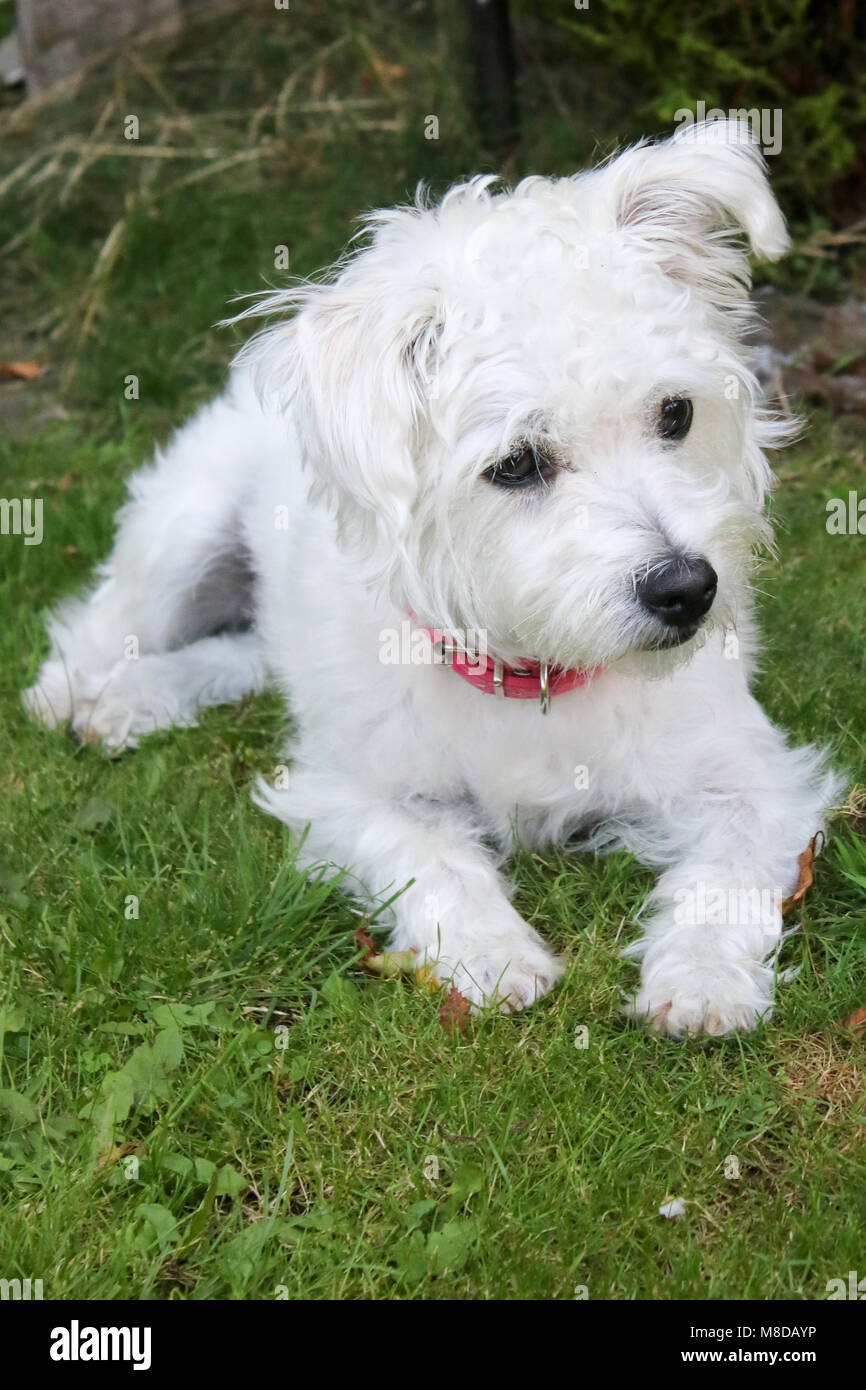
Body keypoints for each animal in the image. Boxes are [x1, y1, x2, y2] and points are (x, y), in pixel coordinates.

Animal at [23, 122, 845, 1034]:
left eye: (676, 414)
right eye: (516, 463)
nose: (687, 590)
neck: (536, 673)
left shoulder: (754, 778)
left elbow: (726, 875)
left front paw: (702, 980)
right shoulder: (352, 790)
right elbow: (434, 854)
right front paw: (492, 954)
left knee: (247, 651)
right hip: (185, 534)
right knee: (108, 622)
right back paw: (89, 695)